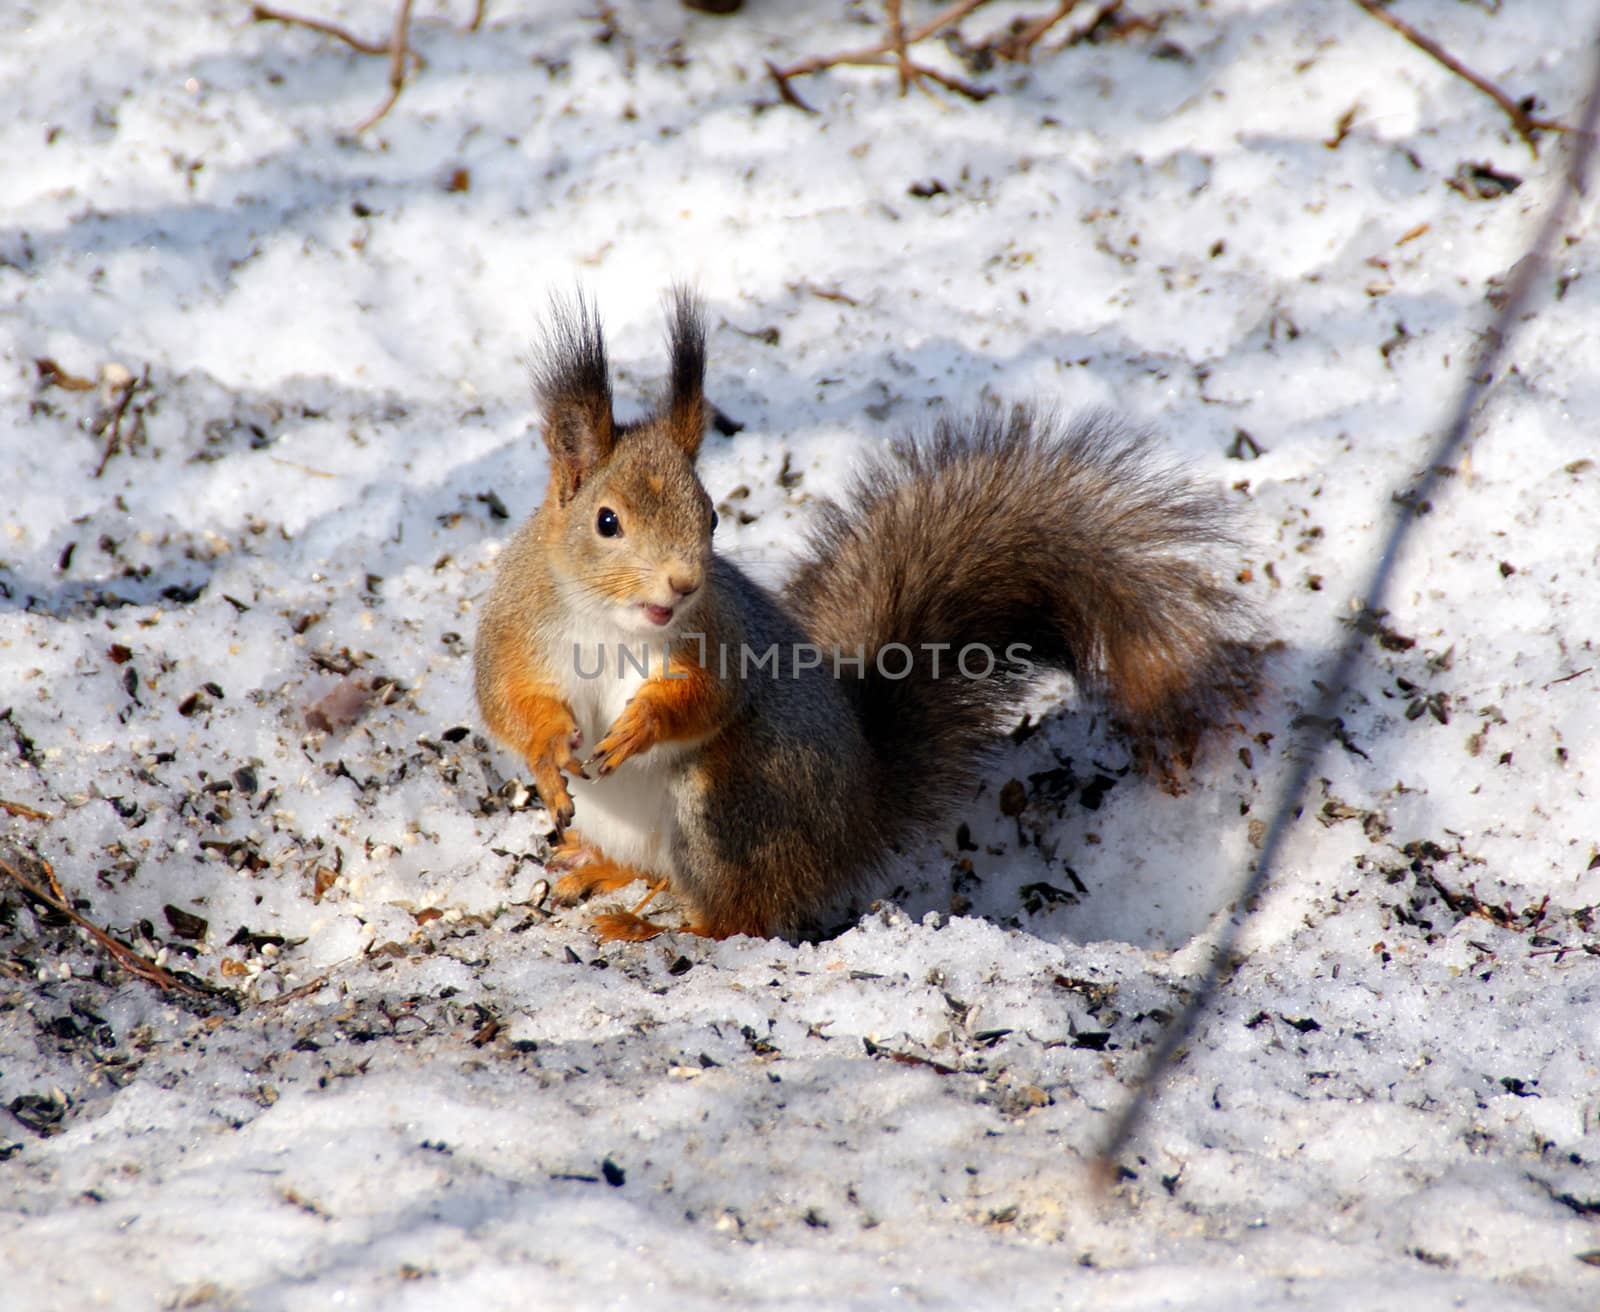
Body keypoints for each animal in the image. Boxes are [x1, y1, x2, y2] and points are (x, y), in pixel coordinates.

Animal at [473, 288, 1260, 940]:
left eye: (712, 517)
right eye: (606, 522)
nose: (684, 582)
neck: (616, 624)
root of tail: (855, 823)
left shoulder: (718, 638)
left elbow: (710, 698)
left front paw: (641, 725)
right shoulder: (515, 633)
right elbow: (509, 706)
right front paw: (550, 757)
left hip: (730, 807)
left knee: (735, 919)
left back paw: (652, 928)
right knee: (660, 873)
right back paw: (600, 870)